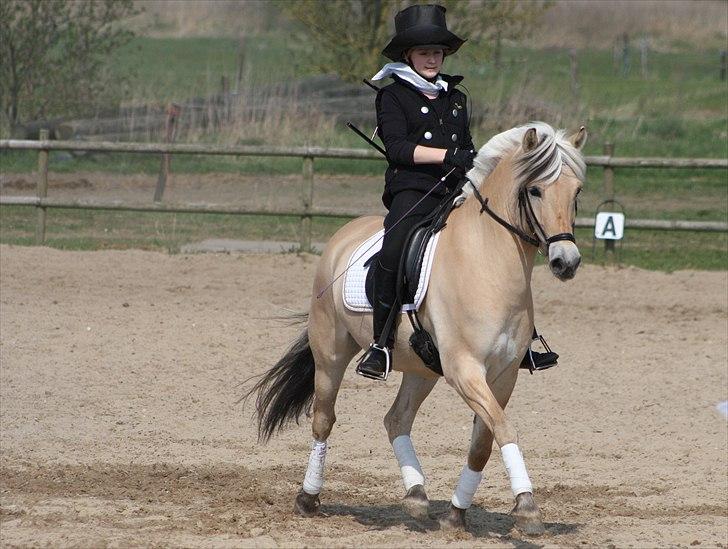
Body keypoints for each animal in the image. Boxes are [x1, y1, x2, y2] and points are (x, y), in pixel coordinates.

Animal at [245, 121, 584, 536]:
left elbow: (483, 442)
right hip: (331, 353)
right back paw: (308, 499)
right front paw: (527, 507)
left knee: (396, 419)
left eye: (576, 191)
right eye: (535, 190)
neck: (487, 261)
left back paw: (417, 497)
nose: (566, 262)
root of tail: (344, 234)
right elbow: (505, 429)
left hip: (422, 369)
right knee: (324, 419)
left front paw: (456, 514)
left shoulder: (503, 375)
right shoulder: (465, 370)